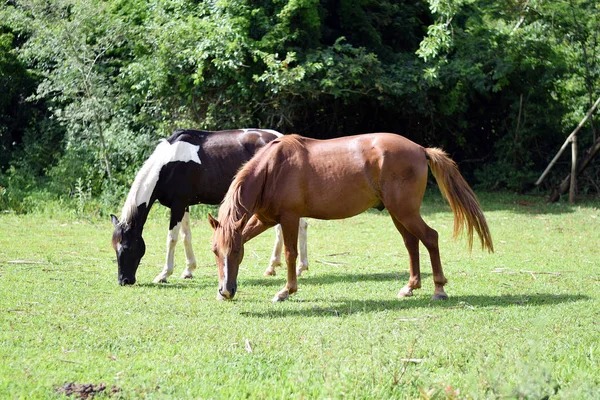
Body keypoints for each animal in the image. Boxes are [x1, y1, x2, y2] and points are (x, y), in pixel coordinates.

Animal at [109, 130, 310, 286]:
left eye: (127, 247)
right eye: (114, 248)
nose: (124, 280)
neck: (169, 163)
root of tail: (282, 138)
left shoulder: (177, 206)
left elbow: (172, 239)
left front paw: (164, 274)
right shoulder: (184, 205)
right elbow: (186, 236)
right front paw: (189, 270)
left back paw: (294, 267)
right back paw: (279, 267)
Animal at [209, 133, 494, 302]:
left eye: (237, 253)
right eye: (215, 251)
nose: (226, 291)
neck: (273, 168)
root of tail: (419, 149)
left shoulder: (289, 218)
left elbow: (291, 254)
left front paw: (286, 290)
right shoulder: (265, 219)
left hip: (405, 212)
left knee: (430, 238)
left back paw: (439, 288)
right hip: (397, 214)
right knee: (412, 244)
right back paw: (410, 287)